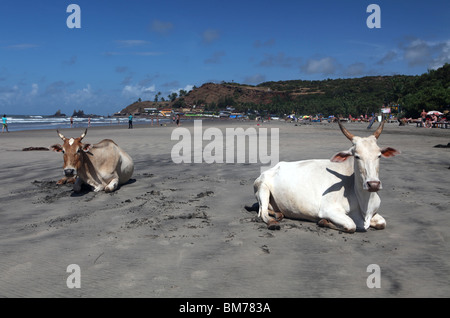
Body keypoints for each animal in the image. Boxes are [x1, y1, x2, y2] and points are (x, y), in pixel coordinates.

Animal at [253, 120, 400, 232]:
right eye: (357, 156)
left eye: (379, 155)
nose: (373, 184)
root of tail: (274, 167)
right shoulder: (329, 210)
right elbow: (351, 225)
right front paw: (323, 222)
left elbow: (382, 223)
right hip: (263, 188)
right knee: (263, 212)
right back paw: (273, 222)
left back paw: (279, 214)